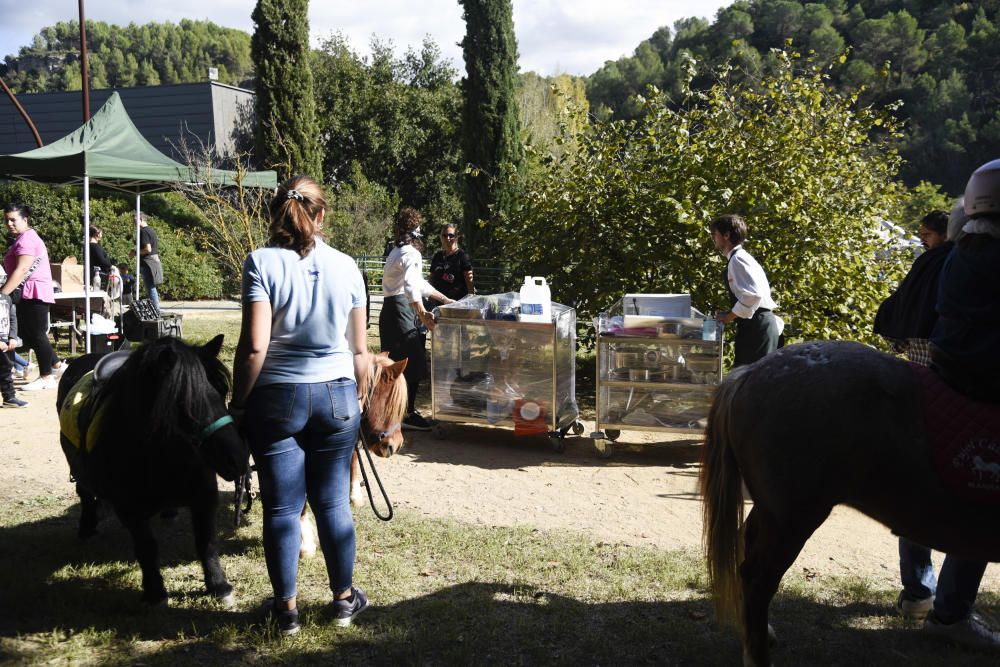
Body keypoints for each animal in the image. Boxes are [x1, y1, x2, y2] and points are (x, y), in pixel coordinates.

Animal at [58, 336, 246, 608]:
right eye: (183, 404)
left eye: (222, 394)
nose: (238, 459)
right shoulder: (129, 508)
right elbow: (147, 546)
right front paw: (155, 592)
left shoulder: (205, 497)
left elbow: (206, 541)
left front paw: (219, 585)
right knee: (84, 492)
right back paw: (87, 525)